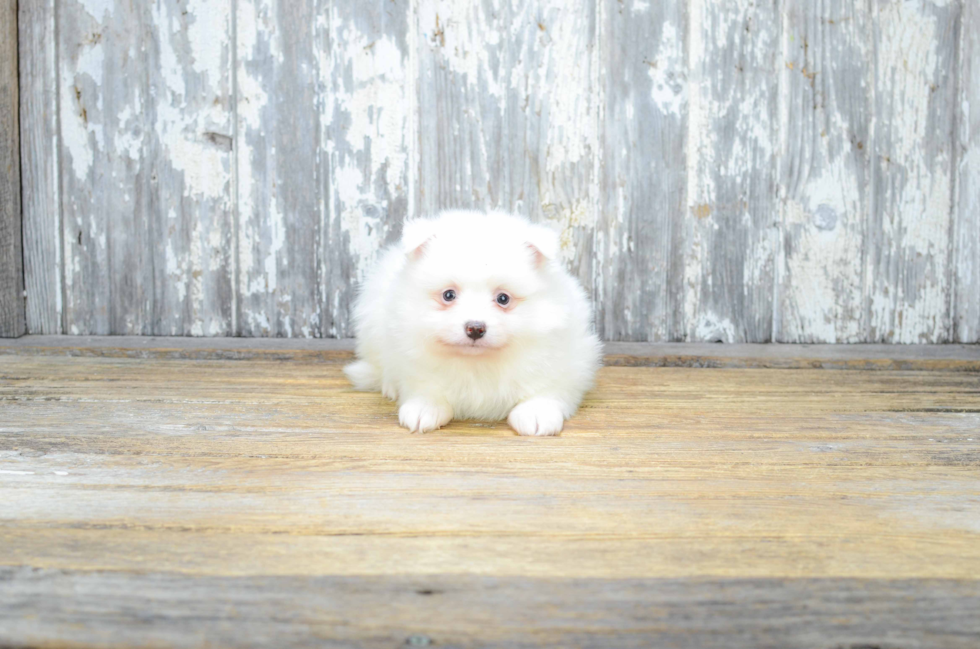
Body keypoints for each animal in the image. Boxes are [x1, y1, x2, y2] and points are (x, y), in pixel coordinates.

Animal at [344, 210, 604, 438]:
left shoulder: (567, 358)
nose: (475, 328)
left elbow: (548, 388)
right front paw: (424, 407)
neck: (477, 363)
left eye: (503, 298)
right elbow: (424, 384)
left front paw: (536, 413)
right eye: (449, 295)